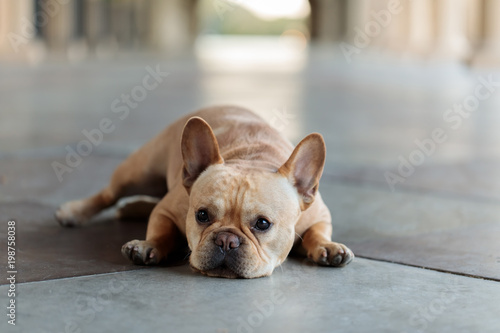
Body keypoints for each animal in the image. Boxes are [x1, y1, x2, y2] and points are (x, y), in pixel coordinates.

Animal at [54, 105, 354, 276]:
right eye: (201, 216)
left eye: (263, 224)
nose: (226, 240)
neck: (252, 157)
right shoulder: (167, 209)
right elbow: (161, 230)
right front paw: (150, 245)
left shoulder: (319, 215)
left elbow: (317, 232)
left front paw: (327, 247)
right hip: (137, 171)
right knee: (109, 194)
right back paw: (75, 211)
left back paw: (130, 208)